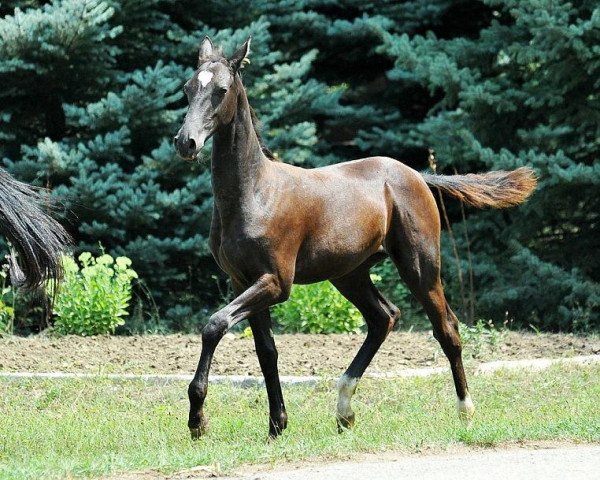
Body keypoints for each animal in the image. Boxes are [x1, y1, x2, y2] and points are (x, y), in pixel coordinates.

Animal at [175, 39, 540, 440]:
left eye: (222, 90)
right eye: (187, 88)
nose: (185, 142)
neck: (254, 193)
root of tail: (418, 175)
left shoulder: (276, 282)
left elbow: (214, 325)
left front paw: (197, 421)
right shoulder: (242, 280)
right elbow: (265, 351)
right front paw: (276, 426)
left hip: (420, 268)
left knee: (447, 329)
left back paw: (465, 411)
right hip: (350, 274)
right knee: (384, 317)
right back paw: (345, 410)